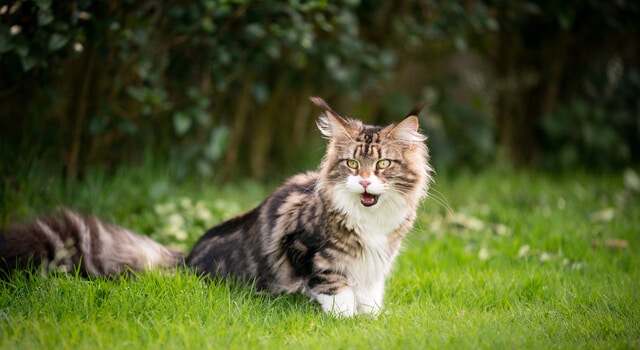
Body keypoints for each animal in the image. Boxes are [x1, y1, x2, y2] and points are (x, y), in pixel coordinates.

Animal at [0, 96, 432, 318]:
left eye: (383, 165)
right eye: (351, 165)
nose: (365, 181)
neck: (370, 220)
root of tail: (186, 258)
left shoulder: (377, 262)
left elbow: (370, 295)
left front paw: (370, 319)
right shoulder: (306, 250)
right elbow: (334, 288)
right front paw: (345, 321)